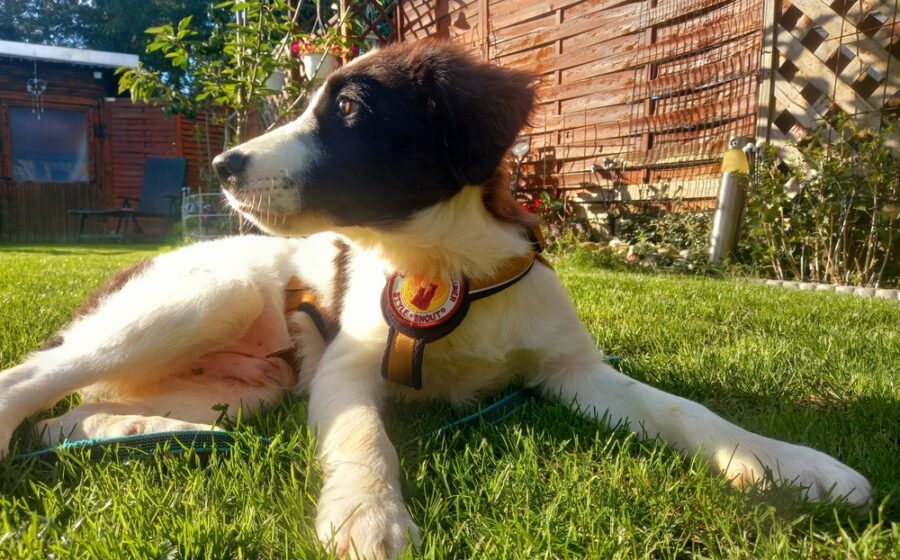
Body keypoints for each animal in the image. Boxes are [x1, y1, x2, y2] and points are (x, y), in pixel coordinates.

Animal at [0, 41, 871, 560]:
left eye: (351, 110)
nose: (222, 166)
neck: (446, 264)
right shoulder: (347, 366)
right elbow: (362, 436)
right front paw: (366, 515)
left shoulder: (570, 370)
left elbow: (687, 410)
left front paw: (791, 465)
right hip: (205, 294)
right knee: (31, 382)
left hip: (248, 386)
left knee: (70, 416)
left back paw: (133, 430)